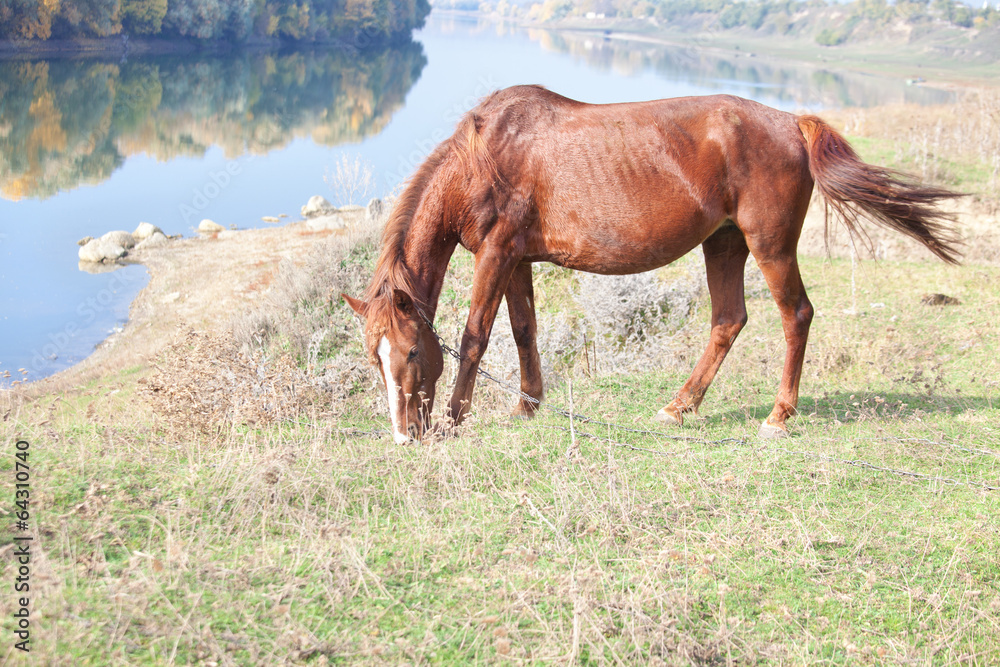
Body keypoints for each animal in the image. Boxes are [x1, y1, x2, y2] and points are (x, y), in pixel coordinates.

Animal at [343, 85, 961, 444]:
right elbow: (523, 331)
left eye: (412, 352)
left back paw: (778, 416)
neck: (483, 157)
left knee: (796, 316)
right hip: (725, 243)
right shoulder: (516, 259)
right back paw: (679, 407)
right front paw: (527, 406)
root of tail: (791, 122)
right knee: (728, 320)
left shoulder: (496, 255)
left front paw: (454, 418)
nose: (405, 435)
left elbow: (476, 336)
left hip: (770, 246)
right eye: (374, 360)